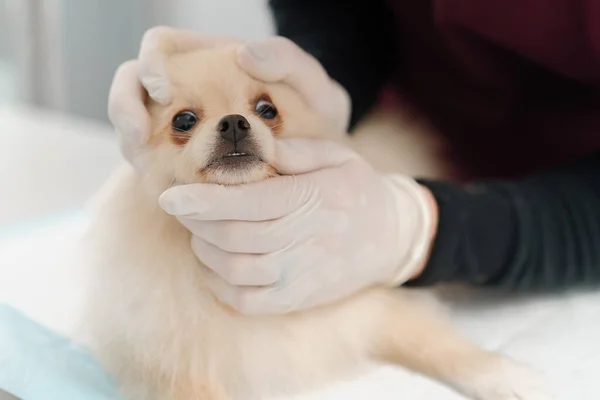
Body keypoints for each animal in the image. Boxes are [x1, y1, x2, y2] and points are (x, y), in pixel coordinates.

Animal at [74, 31, 552, 400]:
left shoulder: (374, 309)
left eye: (267, 110)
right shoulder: (170, 363)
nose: (234, 122)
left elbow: (438, 344)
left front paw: (503, 375)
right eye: (184, 120)